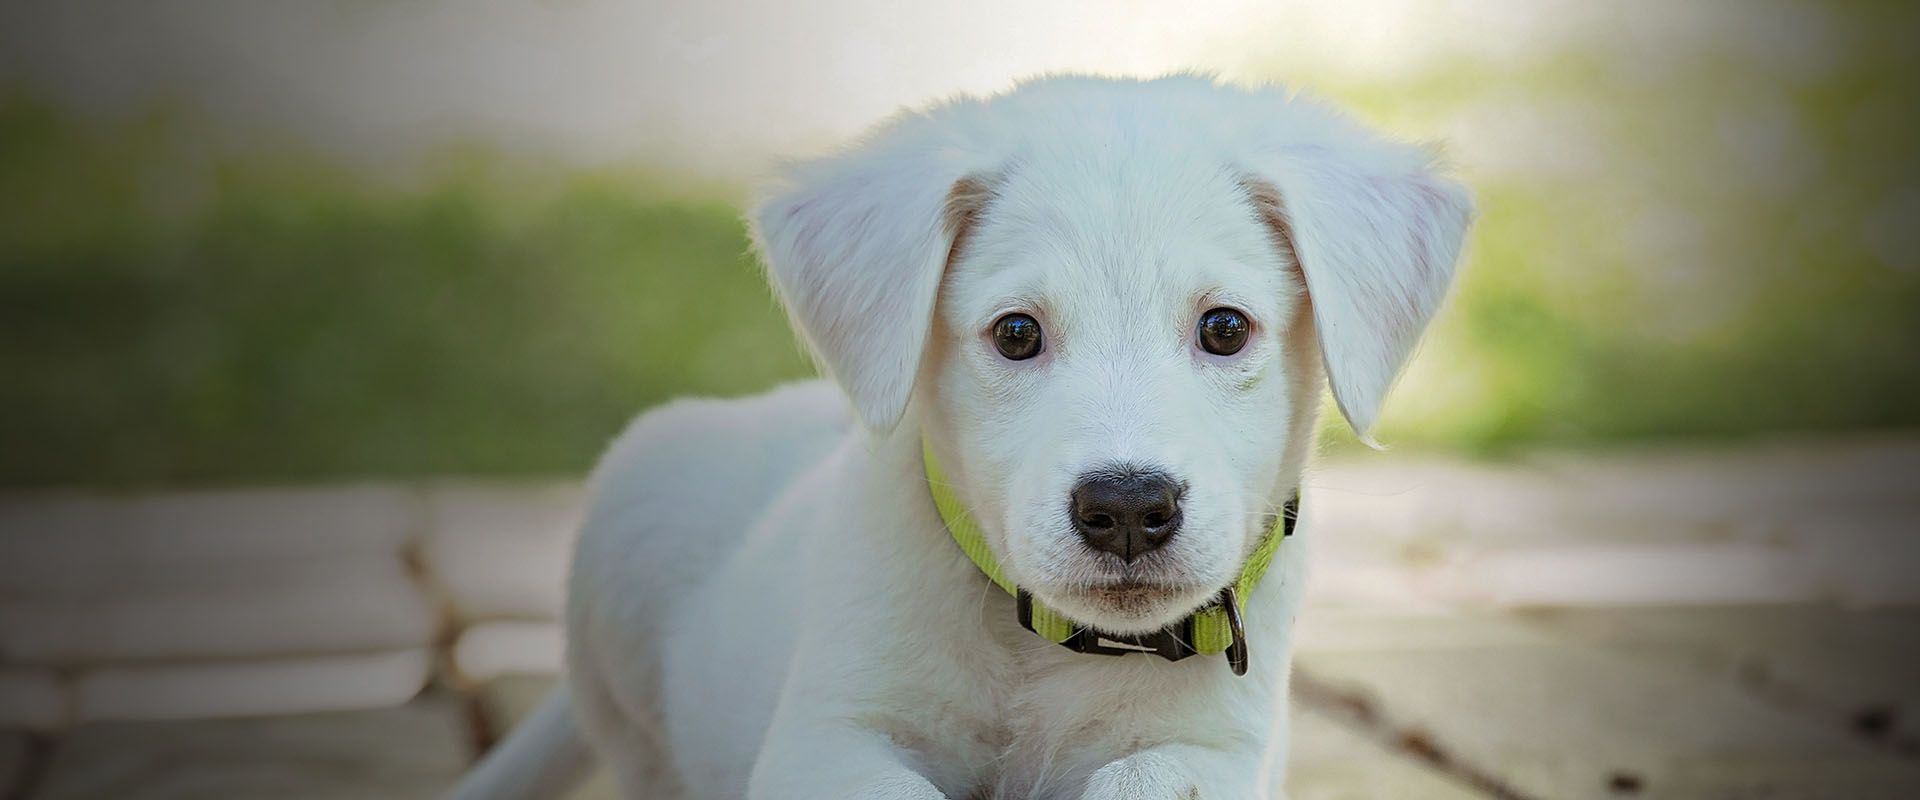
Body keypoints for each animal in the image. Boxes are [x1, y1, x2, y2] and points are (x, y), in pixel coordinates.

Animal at [449, 74, 1466, 798]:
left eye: (1225, 328)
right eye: (1015, 334)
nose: (1127, 508)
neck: (1044, 652)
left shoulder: (1218, 751)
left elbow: (1147, 776)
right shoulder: (825, 737)